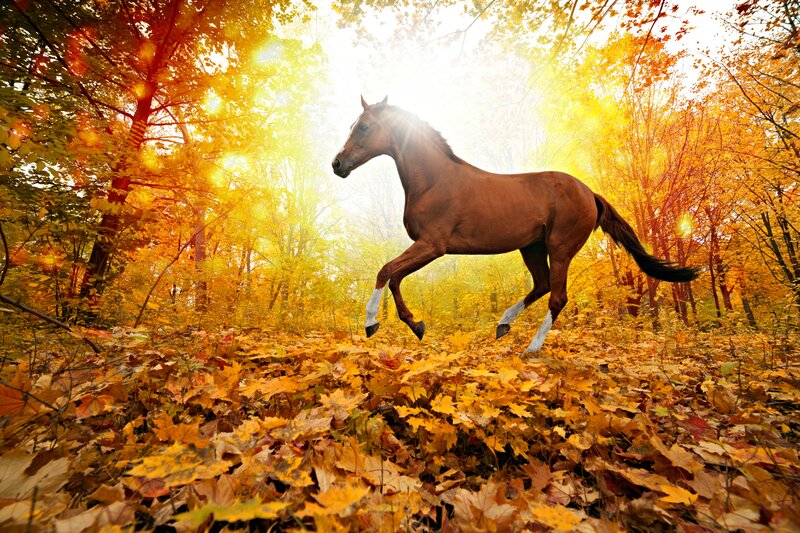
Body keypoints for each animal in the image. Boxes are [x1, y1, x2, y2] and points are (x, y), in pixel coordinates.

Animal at [332, 96, 699, 352]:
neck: (434, 180)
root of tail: (590, 193)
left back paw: (531, 348)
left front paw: (371, 323)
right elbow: (395, 277)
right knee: (542, 285)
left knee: (557, 296)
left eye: (363, 126)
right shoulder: (427, 247)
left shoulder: (432, 245)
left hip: (560, 248)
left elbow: (386, 271)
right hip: (532, 247)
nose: (337, 164)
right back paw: (503, 324)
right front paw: (416, 325)